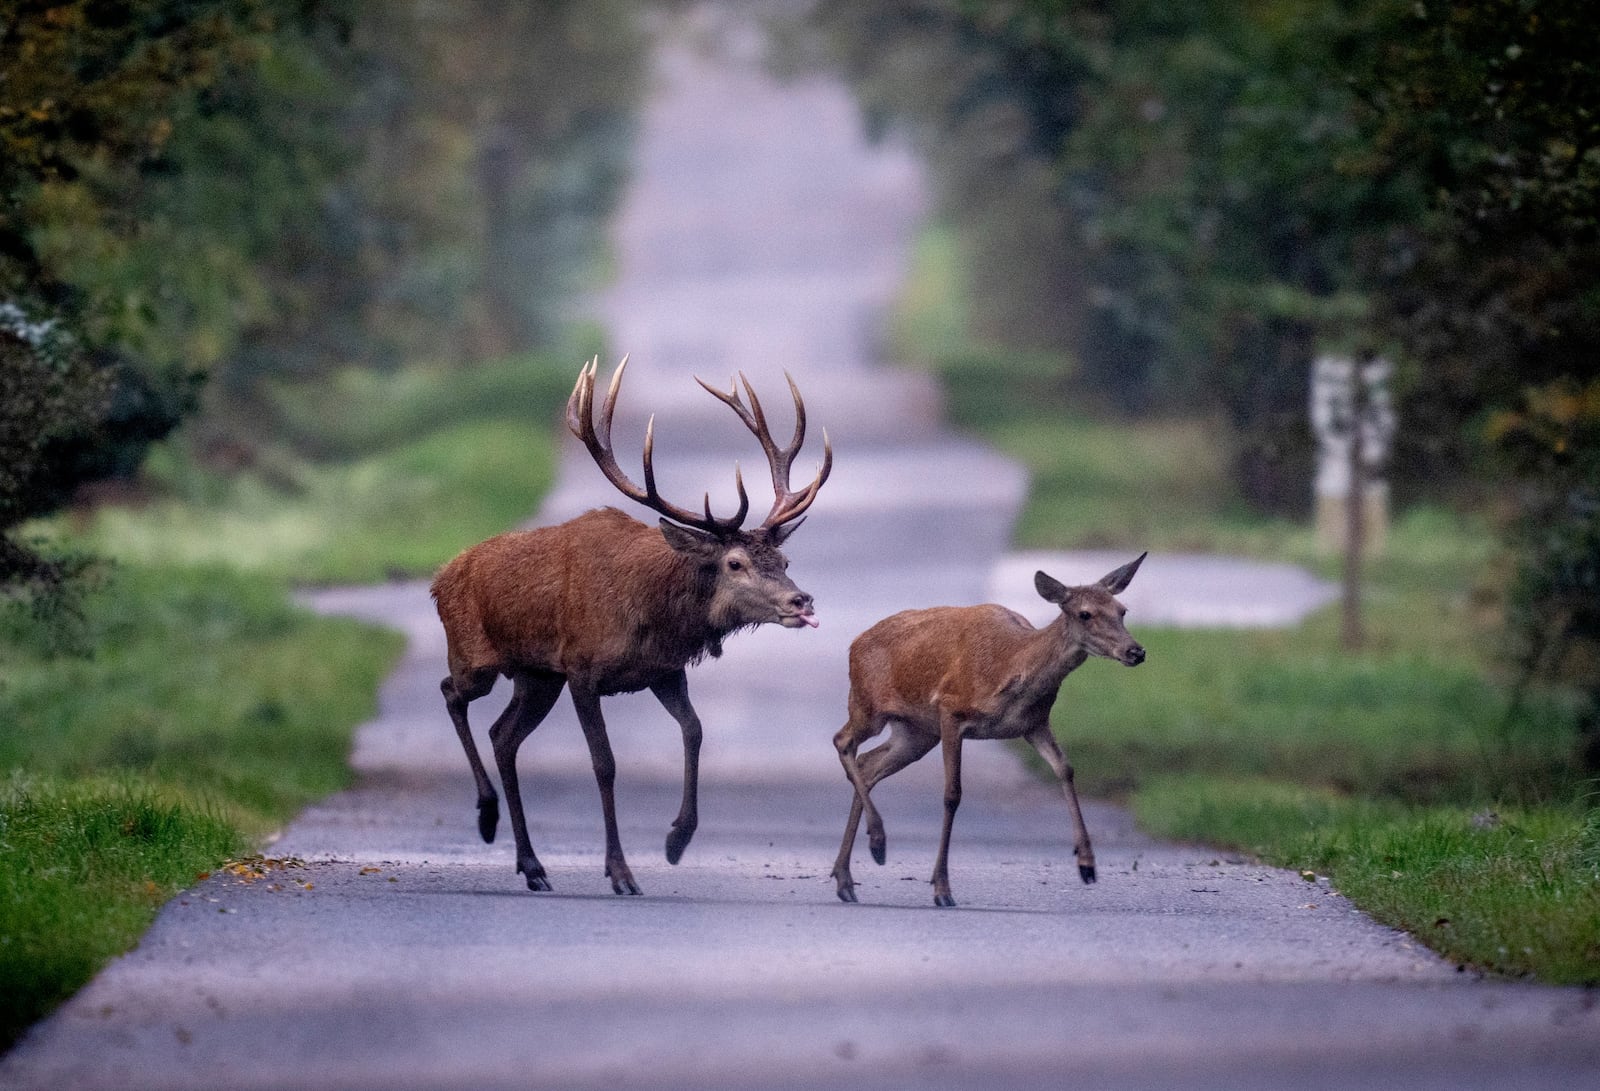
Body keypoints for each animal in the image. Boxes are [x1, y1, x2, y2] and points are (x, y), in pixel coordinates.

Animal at [435, 356, 832, 889]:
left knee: (503, 735)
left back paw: (531, 864)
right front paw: (620, 871)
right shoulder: (582, 668)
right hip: (476, 655)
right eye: (734, 563)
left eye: (785, 561)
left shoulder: (663, 670)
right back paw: (486, 814)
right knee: (452, 692)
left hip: (537, 677)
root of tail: (439, 578)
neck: (652, 612)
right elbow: (604, 763)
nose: (801, 601)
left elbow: (695, 730)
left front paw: (677, 840)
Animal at [832, 553, 1145, 902]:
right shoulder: (951, 710)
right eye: (1085, 614)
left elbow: (1065, 769)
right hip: (867, 705)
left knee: (868, 764)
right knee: (843, 741)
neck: (1011, 667)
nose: (1136, 651)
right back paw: (876, 843)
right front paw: (942, 887)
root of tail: (853, 645)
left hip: (916, 733)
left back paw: (845, 878)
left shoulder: (1034, 723)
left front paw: (1087, 864)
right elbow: (952, 793)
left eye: (1122, 610)